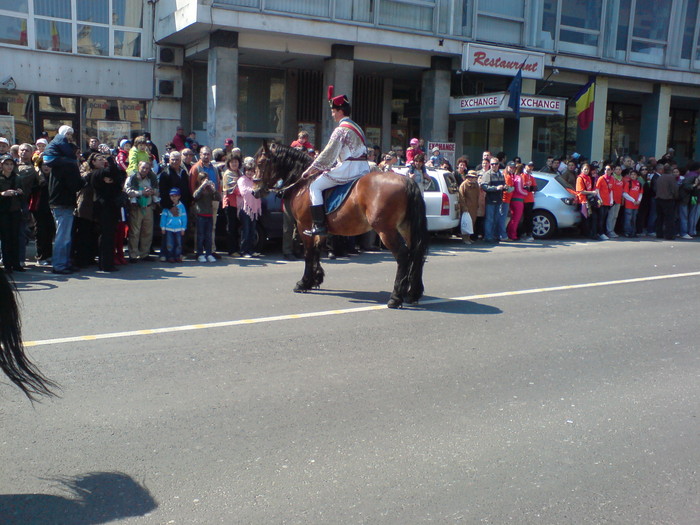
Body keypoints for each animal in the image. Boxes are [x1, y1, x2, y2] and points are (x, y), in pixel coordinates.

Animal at [252, 141, 426, 310]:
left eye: (260, 163)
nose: (254, 192)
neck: (304, 183)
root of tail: (407, 180)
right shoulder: (320, 229)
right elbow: (316, 250)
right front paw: (316, 278)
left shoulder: (304, 226)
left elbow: (309, 253)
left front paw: (304, 282)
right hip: (405, 229)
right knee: (416, 254)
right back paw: (412, 293)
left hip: (386, 231)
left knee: (403, 255)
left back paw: (396, 297)